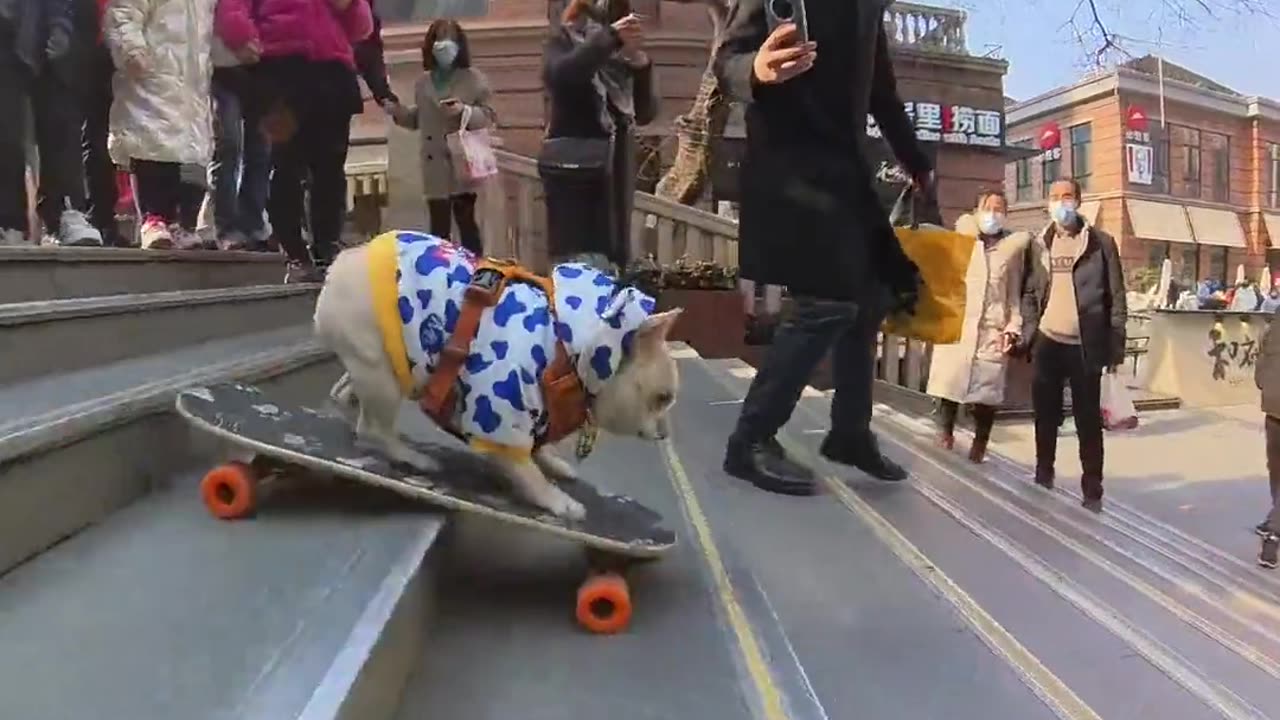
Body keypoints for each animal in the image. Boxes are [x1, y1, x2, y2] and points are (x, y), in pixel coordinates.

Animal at [312, 233, 680, 517]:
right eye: (663, 398)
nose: (665, 432)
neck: (572, 348)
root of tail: (342, 262)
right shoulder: (501, 415)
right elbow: (526, 471)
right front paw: (557, 500)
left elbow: (537, 449)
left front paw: (552, 462)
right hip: (383, 380)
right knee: (374, 427)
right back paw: (412, 457)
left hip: (382, 363)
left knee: (348, 395)